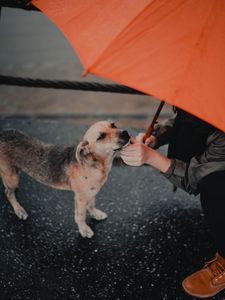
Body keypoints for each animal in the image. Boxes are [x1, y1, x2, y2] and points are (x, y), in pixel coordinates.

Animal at [0, 120, 129, 238]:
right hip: (12, 177)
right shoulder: (80, 198)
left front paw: (96, 214)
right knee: (8, 193)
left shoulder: (91, 192)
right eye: (101, 137)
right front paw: (84, 229)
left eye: (113, 125)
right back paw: (19, 210)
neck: (95, 164)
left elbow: (91, 205)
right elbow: (80, 216)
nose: (125, 133)